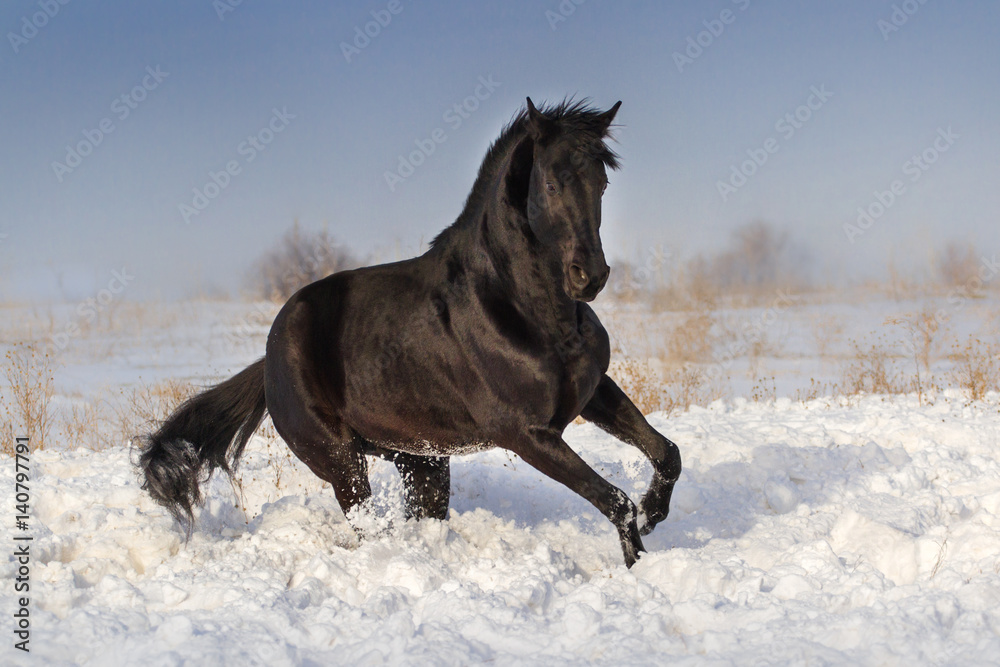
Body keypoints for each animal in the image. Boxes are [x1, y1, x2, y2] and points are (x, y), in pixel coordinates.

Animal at [139, 99, 680, 568]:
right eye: (549, 182)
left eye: (602, 182)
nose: (590, 276)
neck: (527, 308)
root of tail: (269, 357)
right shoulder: (527, 433)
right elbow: (614, 500)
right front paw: (637, 560)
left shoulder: (592, 392)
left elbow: (666, 453)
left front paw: (655, 515)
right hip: (342, 462)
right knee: (367, 524)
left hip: (420, 461)